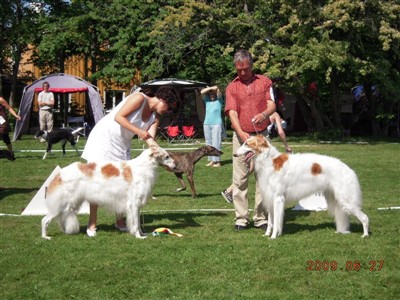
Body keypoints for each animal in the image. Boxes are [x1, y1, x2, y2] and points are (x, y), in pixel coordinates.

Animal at [41, 144, 177, 240]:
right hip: (63, 203)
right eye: (167, 156)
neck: (144, 166)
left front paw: (142, 233)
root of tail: (60, 173)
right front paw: (138, 236)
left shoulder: (136, 205)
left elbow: (137, 223)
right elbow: (135, 223)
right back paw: (45, 236)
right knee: (44, 220)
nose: (175, 166)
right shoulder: (133, 203)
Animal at [234, 135, 368, 239]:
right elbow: (271, 221)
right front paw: (267, 234)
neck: (269, 161)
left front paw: (274, 236)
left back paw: (365, 235)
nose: (234, 154)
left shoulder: (278, 198)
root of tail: (349, 169)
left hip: (346, 200)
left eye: (246, 144)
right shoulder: (270, 198)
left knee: (365, 217)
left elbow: (276, 221)